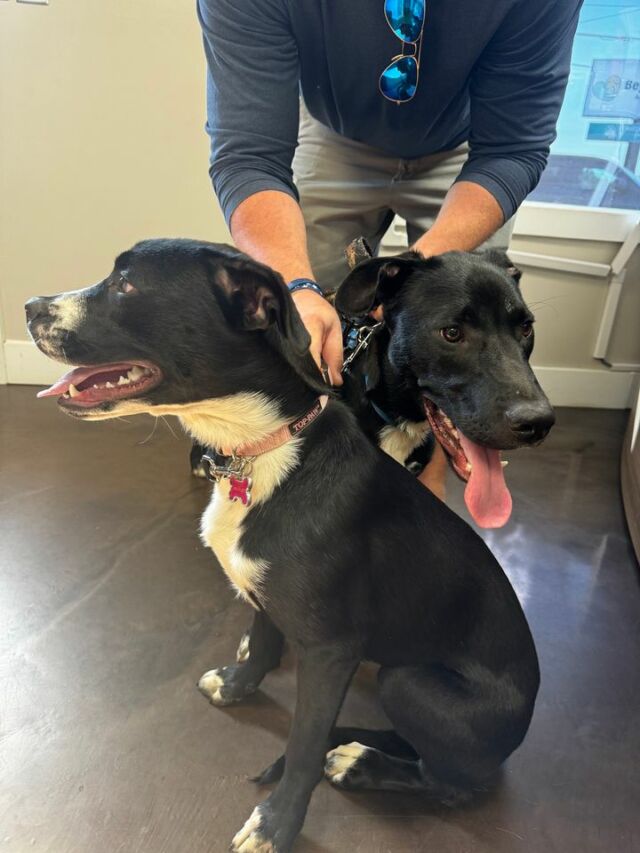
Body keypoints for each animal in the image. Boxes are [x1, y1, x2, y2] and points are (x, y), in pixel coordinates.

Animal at [28, 238, 540, 852]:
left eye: (126, 284)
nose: (30, 307)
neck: (261, 453)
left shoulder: (330, 652)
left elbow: (301, 748)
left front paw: (277, 823)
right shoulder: (267, 593)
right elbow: (264, 635)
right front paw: (238, 683)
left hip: (410, 682)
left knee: (450, 784)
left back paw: (362, 764)